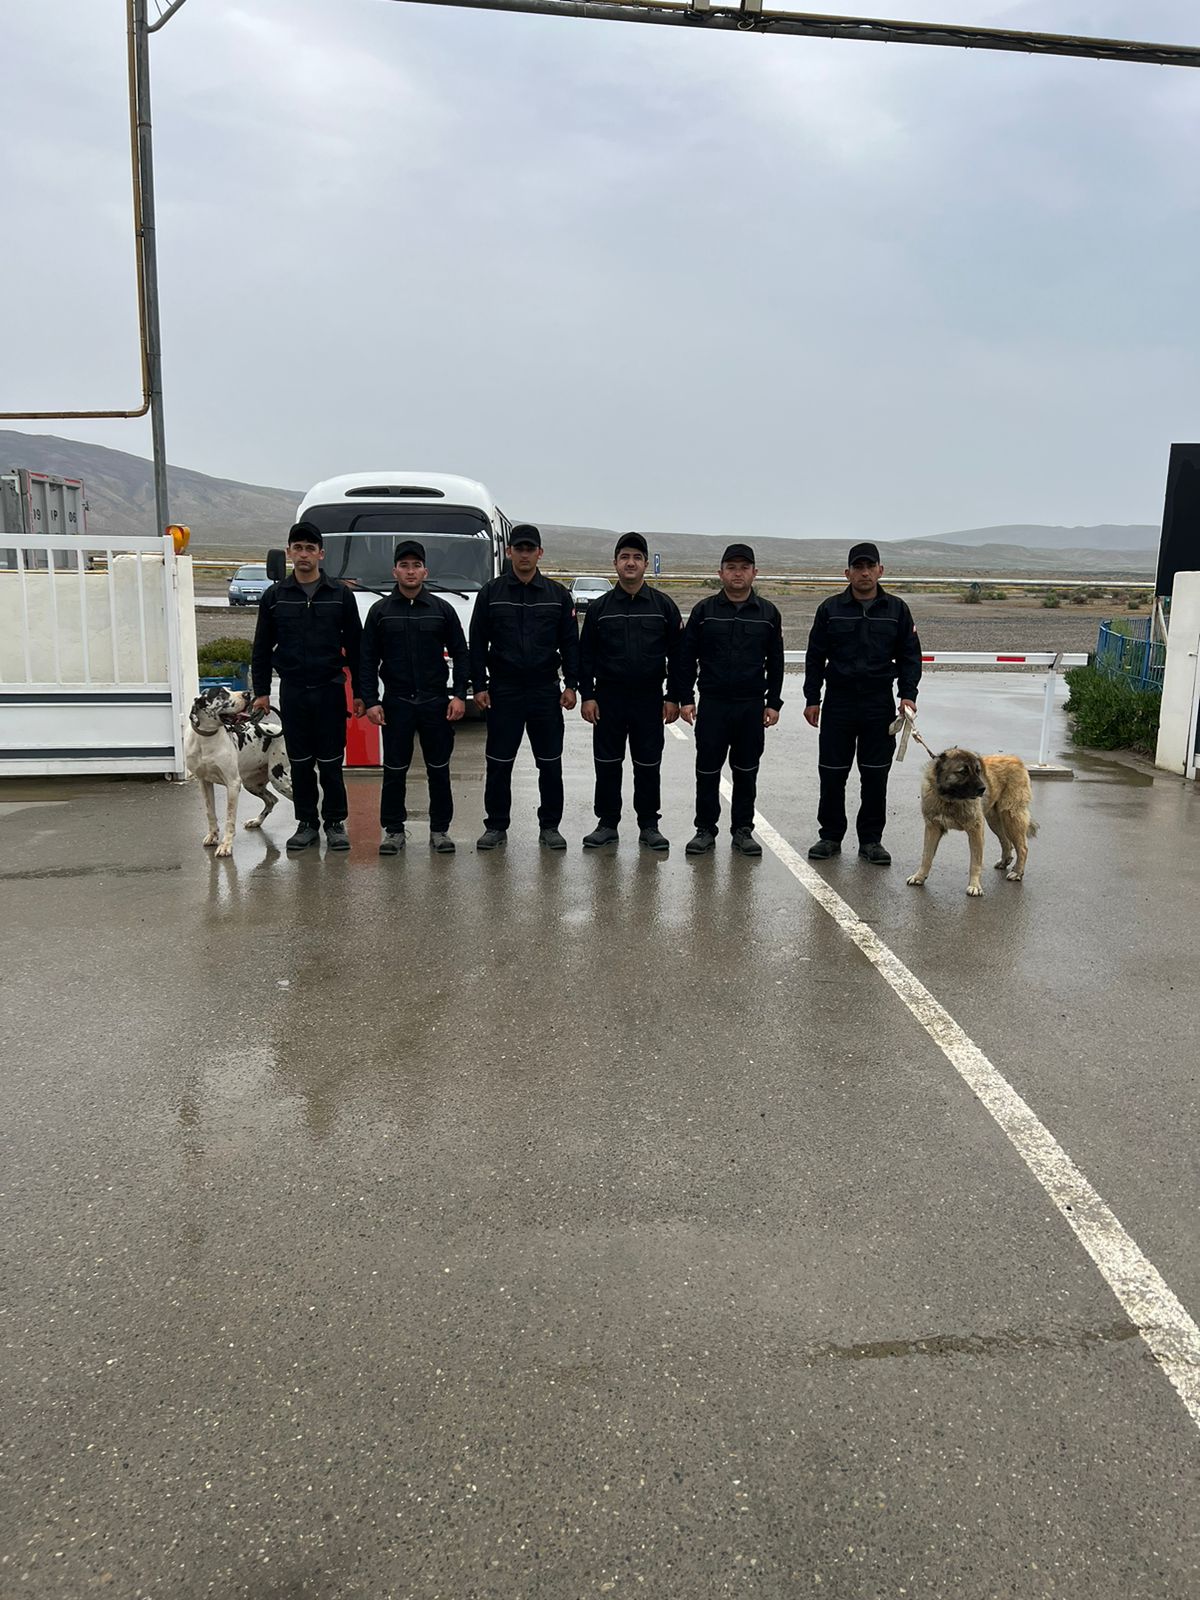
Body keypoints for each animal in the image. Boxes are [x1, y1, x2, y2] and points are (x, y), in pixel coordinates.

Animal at [185, 686, 294, 857]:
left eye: (228, 689)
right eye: (222, 693)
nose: (247, 694)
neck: (206, 740)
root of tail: (280, 729)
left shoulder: (233, 784)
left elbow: (229, 817)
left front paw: (226, 845)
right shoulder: (204, 782)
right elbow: (210, 812)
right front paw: (212, 836)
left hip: (279, 779)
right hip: (252, 784)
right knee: (271, 800)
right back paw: (256, 821)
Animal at [906, 748, 1037, 897]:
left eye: (978, 771)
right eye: (963, 772)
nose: (983, 788)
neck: (950, 799)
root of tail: (1017, 760)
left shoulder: (976, 830)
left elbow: (975, 862)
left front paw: (974, 886)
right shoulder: (932, 828)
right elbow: (926, 856)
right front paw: (919, 877)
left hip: (1010, 818)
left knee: (1023, 848)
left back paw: (1017, 872)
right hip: (994, 820)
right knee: (1006, 841)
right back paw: (1005, 861)